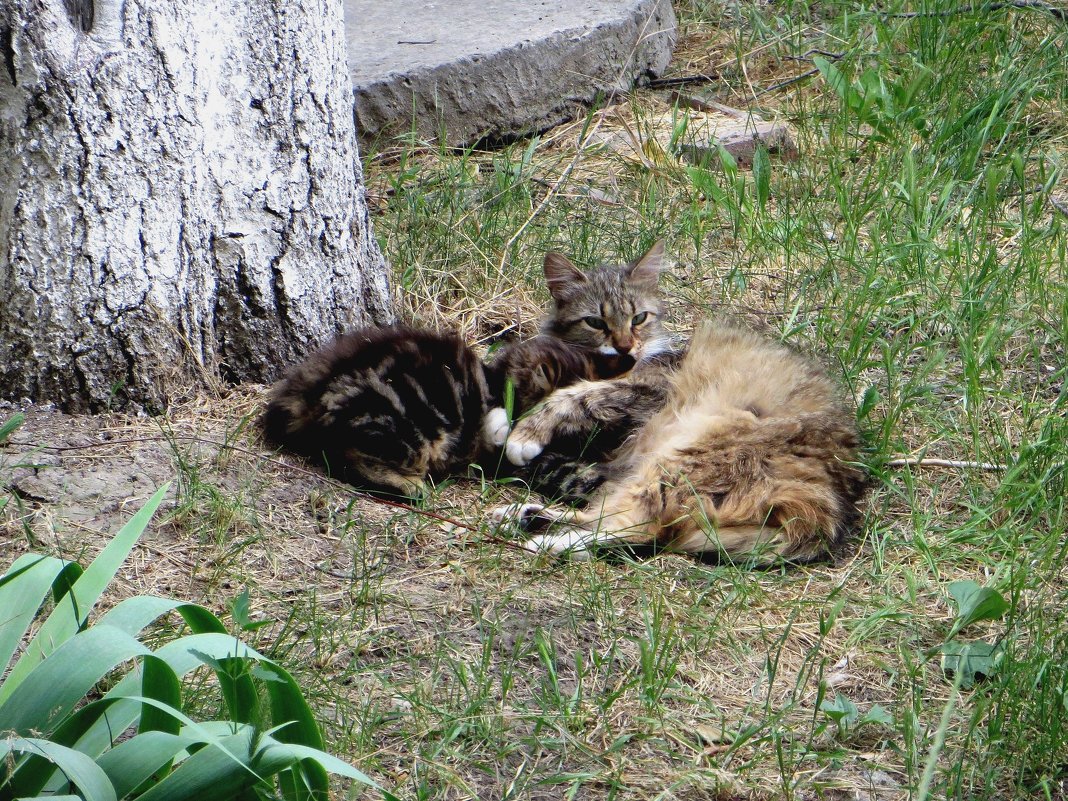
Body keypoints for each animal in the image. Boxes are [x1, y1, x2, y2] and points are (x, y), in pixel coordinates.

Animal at [261, 326, 627, 495]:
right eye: (575, 430)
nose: (602, 447)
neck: (497, 383)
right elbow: (580, 475)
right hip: (408, 425)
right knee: (350, 454)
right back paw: (409, 485)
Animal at [491, 247, 867, 568]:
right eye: (595, 322)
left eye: (639, 318)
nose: (625, 348)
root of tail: (830, 508)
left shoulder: (651, 388)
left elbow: (575, 397)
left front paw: (522, 433)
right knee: (618, 518)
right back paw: (527, 517)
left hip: (680, 458)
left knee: (642, 527)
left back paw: (547, 541)